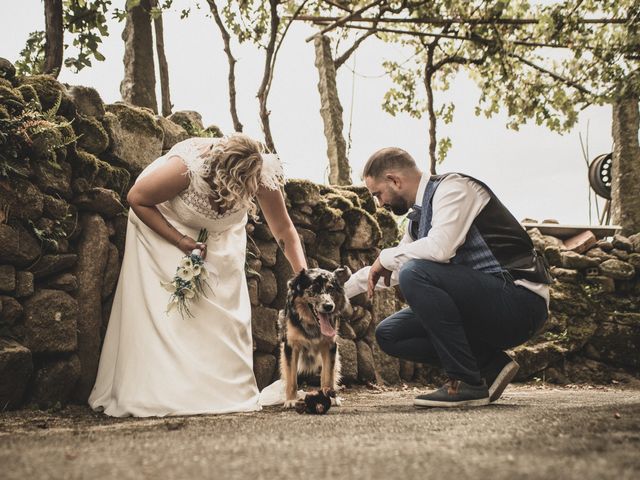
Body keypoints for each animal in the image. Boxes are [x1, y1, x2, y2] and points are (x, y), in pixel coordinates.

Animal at [278, 266, 352, 408]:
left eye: (331, 289)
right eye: (314, 289)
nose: (329, 306)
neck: (313, 325)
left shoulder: (330, 346)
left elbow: (328, 376)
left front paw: (331, 398)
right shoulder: (291, 346)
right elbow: (291, 378)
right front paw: (291, 400)